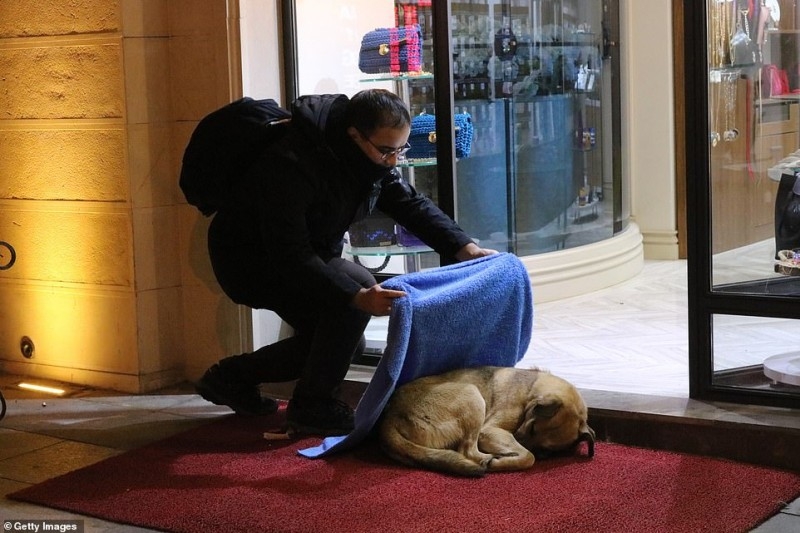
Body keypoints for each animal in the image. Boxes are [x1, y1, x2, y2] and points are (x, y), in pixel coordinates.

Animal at [380, 366, 592, 474]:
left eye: (546, 452)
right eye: (532, 428)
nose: (517, 439)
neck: (531, 389)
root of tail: (390, 417)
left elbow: (529, 454)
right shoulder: (489, 431)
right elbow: (528, 457)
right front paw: (504, 461)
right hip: (472, 396)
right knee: (467, 450)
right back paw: (489, 460)